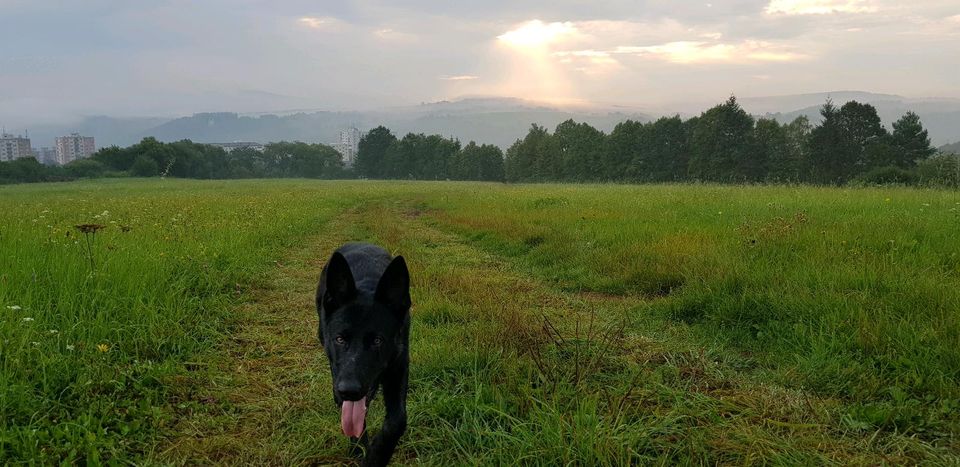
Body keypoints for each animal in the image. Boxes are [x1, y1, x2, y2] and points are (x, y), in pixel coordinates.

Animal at [316, 243, 410, 466]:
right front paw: (359, 448)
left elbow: (397, 421)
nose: (348, 391)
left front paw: (376, 456)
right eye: (340, 339)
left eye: (377, 341)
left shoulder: (399, 364)